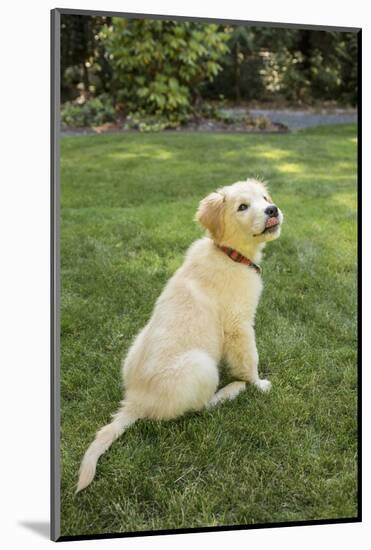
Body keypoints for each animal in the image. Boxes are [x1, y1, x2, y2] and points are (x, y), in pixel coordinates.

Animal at [77, 179, 284, 494]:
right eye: (242, 207)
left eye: (264, 198)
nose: (272, 210)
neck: (228, 253)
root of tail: (136, 400)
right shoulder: (240, 325)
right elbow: (250, 359)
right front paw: (258, 385)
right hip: (202, 366)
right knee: (201, 407)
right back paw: (232, 390)